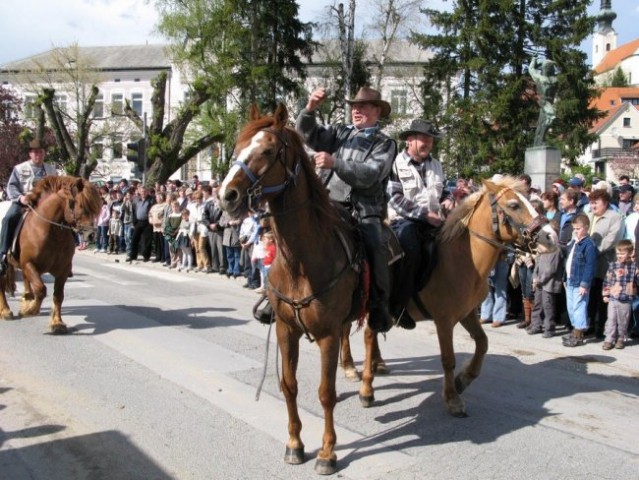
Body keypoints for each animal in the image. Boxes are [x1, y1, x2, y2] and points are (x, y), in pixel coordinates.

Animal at [0, 176, 101, 334]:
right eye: (80, 205)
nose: (91, 235)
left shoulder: (63, 270)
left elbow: (58, 296)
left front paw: (57, 323)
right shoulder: (29, 264)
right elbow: (41, 289)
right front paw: (29, 311)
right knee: (2, 283)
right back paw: (5, 311)